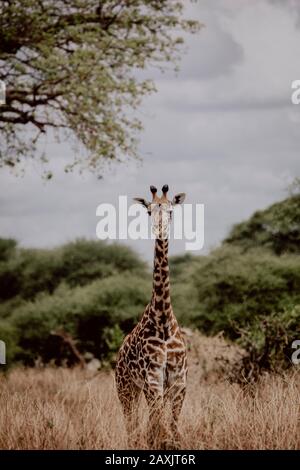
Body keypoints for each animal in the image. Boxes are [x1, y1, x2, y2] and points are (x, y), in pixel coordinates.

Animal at [115, 183, 188, 448]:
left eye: (170, 211)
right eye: (149, 211)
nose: (160, 229)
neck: (163, 318)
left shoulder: (178, 382)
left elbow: (172, 428)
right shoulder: (152, 380)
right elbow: (157, 428)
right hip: (126, 388)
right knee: (132, 425)